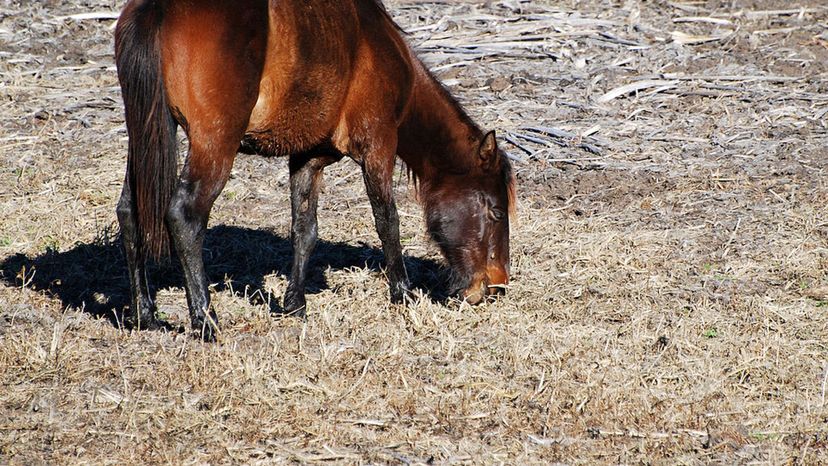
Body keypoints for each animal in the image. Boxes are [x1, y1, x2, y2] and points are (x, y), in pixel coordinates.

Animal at [113, 0, 516, 342]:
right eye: (496, 211)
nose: (497, 286)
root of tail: (159, 8)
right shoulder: (378, 145)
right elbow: (388, 221)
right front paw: (402, 293)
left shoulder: (307, 159)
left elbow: (305, 231)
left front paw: (295, 304)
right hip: (214, 143)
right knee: (185, 215)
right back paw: (205, 321)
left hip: (146, 135)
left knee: (130, 211)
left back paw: (145, 315)